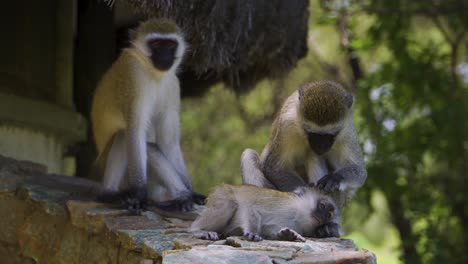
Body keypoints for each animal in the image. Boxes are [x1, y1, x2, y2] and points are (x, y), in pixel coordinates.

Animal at [90, 18, 204, 214]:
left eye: (170, 45)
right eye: (157, 44)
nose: (165, 56)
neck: (153, 72)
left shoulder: (173, 84)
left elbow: (168, 142)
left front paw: (191, 191)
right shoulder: (132, 75)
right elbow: (135, 130)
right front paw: (140, 194)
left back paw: (182, 197)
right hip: (107, 168)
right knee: (126, 136)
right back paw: (110, 194)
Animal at [190, 184, 340, 241]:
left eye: (329, 215)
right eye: (322, 206)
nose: (322, 218)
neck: (297, 215)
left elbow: (270, 230)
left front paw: (288, 235)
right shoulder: (284, 204)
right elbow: (251, 207)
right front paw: (252, 232)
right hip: (222, 194)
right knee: (229, 203)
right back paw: (197, 230)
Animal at [243, 81, 368, 237]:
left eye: (330, 135)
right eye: (312, 133)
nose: (320, 146)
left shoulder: (347, 131)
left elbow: (359, 171)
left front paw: (334, 178)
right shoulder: (287, 123)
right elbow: (274, 166)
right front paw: (302, 192)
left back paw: (330, 227)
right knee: (248, 155)